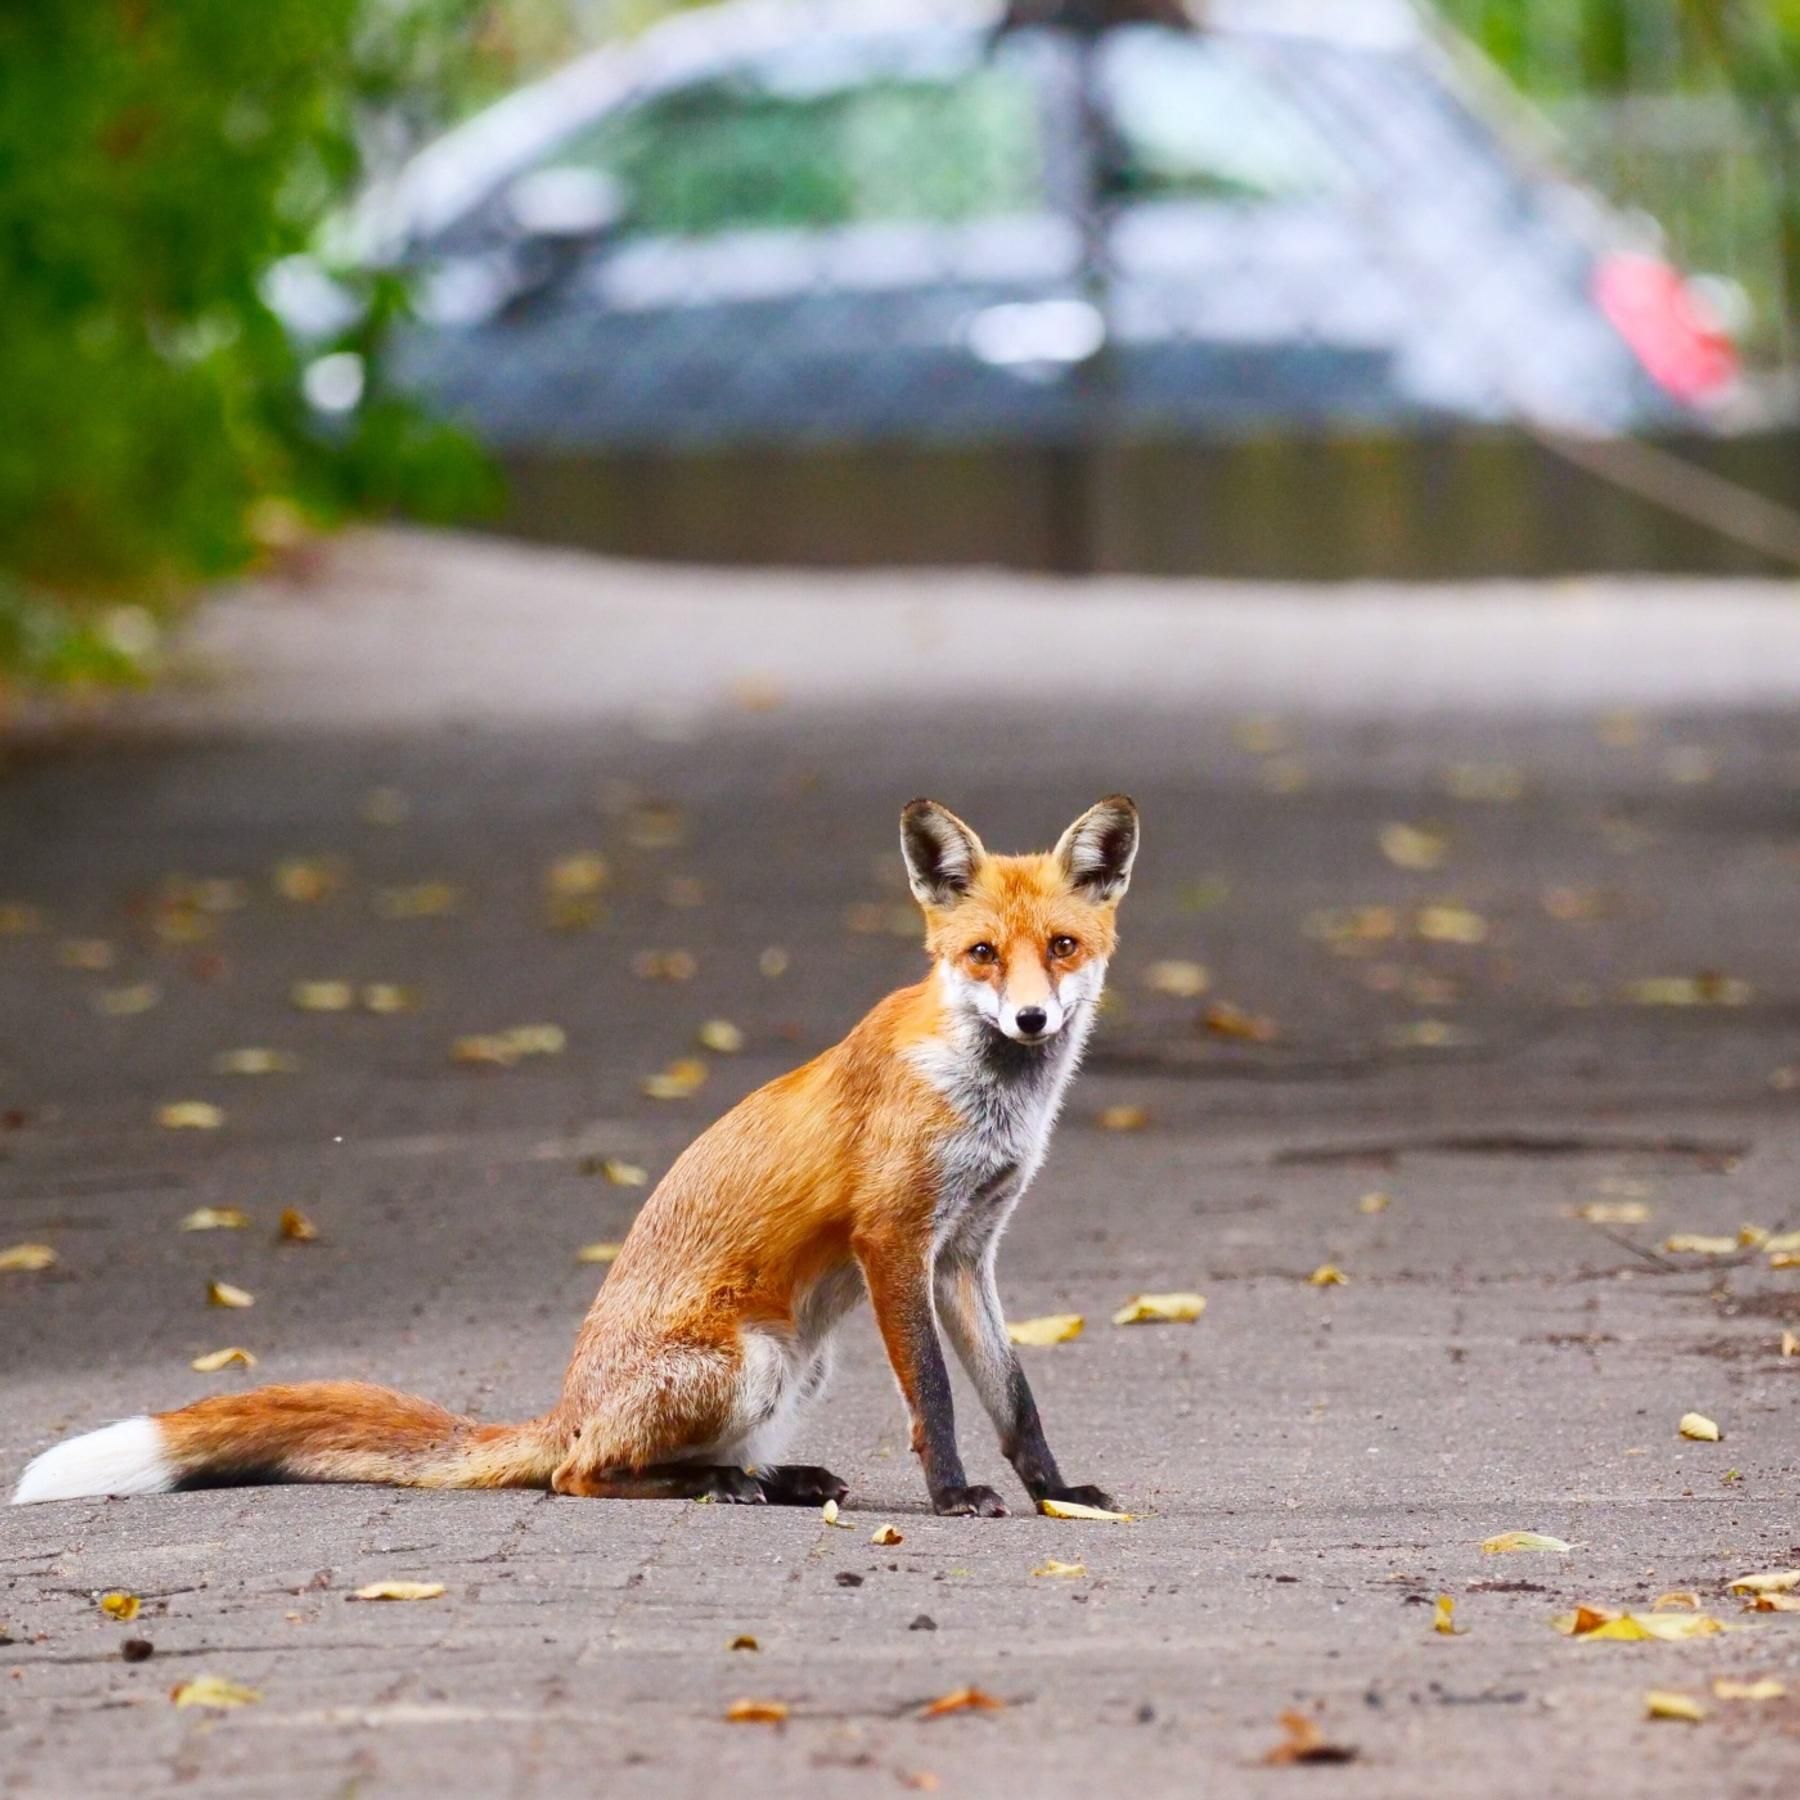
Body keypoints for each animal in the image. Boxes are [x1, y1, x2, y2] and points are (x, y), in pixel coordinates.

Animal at [14, 796, 1139, 1518]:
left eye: (1063, 948)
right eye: (982, 954)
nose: (1033, 1020)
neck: (987, 1095)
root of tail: (563, 1405)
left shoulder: (965, 1253)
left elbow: (1014, 1398)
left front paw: (1057, 1494)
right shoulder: (892, 1239)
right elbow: (936, 1400)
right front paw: (952, 1495)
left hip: (798, 1366)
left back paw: (777, 1480)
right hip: (749, 1359)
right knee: (579, 1474)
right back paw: (718, 1485)